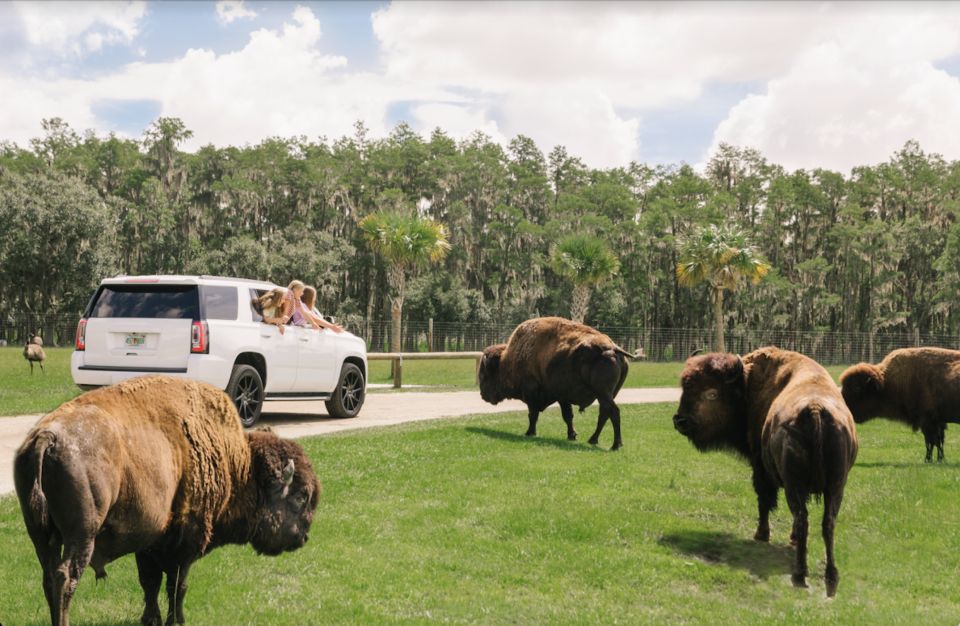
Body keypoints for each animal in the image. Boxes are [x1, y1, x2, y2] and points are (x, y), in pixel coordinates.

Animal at [14, 376, 322, 624]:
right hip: (82, 534)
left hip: (39, 534)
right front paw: (177, 620)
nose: (304, 537)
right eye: (300, 497)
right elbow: (177, 585)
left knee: (48, 577)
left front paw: (150, 619)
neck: (240, 464)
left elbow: (150, 583)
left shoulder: (149, 541)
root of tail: (48, 437)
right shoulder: (186, 541)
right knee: (66, 577)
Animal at [478, 316, 632, 448]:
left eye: (484, 375)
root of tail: (612, 348)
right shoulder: (562, 397)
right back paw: (593, 440)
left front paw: (529, 432)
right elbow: (567, 416)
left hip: (603, 393)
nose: (482, 395)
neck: (507, 361)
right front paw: (572, 435)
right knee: (604, 413)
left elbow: (533, 415)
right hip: (606, 395)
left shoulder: (531, 394)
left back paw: (615, 445)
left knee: (613, 412)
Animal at [672, 346, 860, 596]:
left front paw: (761, 535)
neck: (746, 385)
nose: (679, 421)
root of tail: (815, 409)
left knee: (802, 518)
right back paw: (831, 576)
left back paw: (799, 574)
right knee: (826, 523)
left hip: (794, 486)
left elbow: (764, 500)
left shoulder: (760, 467)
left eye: (711, 393)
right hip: (836, 486)